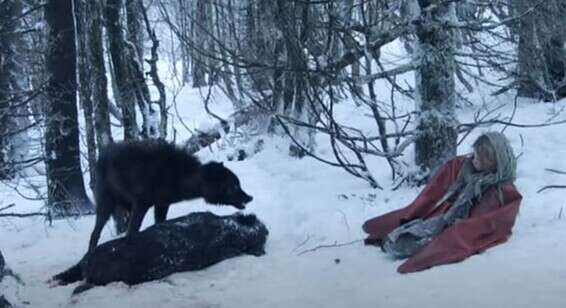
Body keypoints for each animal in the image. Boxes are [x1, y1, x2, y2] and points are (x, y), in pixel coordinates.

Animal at [88, 141, 253, 254]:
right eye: (234, 186)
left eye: (238, 184)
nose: (250, 197)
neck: (177, 176)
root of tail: (101, 158)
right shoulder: (141, 204)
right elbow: (133, 231)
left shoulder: (162, 205)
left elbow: (159, 224)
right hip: (106, 205)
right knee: (94, 233)